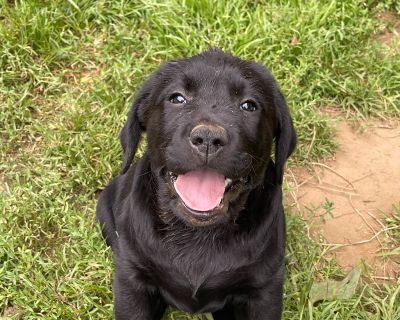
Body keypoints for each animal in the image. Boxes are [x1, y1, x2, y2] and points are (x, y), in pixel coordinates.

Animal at [96, 48, 296, 318]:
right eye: (177, 98)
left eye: (249, 105)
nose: (208, 138)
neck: (197, 232)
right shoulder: (132, 281)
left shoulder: (264, 289)